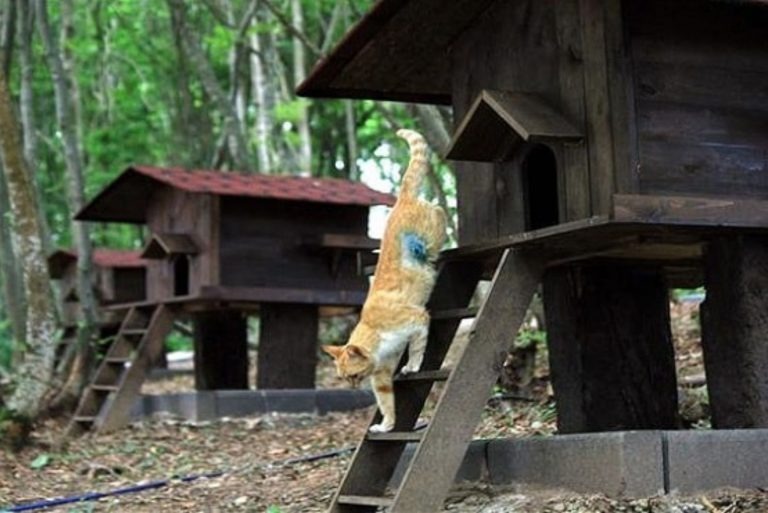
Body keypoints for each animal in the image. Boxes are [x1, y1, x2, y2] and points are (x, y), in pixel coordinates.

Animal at [320, 129, 448, 432]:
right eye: (345, 378)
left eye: (353, 376)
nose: (353, 388)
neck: (374, 331)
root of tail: (400, 200)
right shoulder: (382, 373)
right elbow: (386, 401)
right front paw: (386, 426)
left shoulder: (417, 320)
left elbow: (417, 349)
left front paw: (413, 366)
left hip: (430, 233)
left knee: (439, 209)